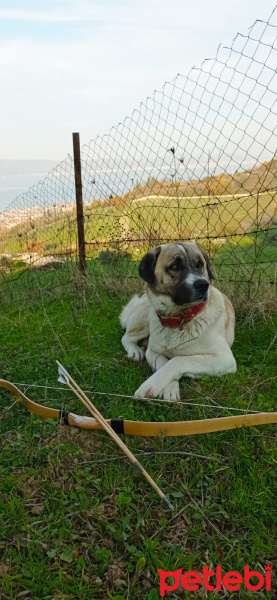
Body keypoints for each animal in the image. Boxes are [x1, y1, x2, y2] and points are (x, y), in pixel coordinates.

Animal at [118, 241, 235, 400]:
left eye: (200, 264)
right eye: (175, 266)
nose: (203, 285)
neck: (179, 318)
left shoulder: (224, 358)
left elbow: (178, 360)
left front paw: (151, 385)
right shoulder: (153, 352)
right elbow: (164, 363)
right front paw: (169, 388)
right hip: (145, 316)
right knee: (126, 336)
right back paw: (135, 351)